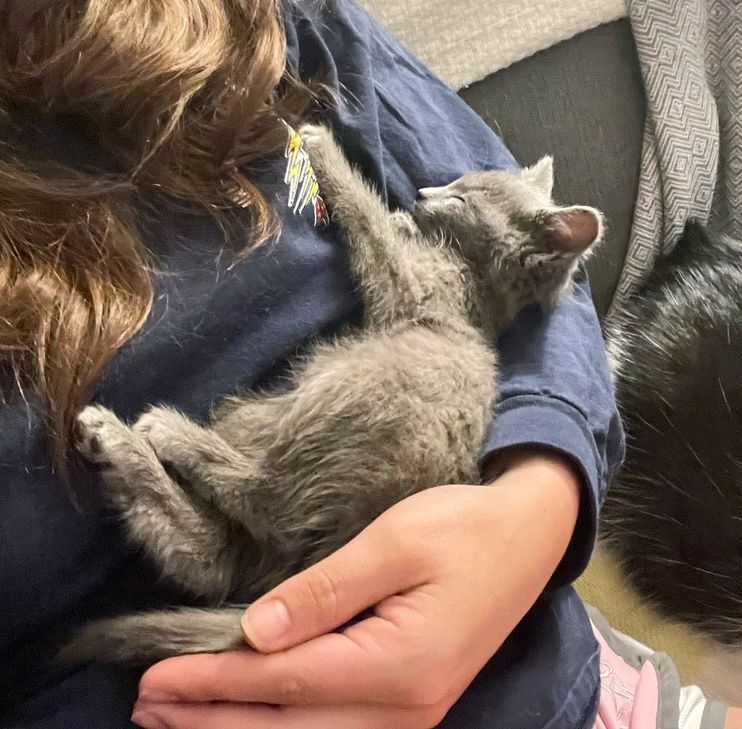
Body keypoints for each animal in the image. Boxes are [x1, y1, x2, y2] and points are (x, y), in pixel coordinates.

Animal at [65, 122, 604, 664]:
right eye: (457, 182)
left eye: (462, 197)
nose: (423, 193)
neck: (472, 285)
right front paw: (397, 214)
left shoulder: (412, 287)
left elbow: (371, 224)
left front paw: (322, 147)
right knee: (211, 557)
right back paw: (111, 442)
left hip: (335, 399)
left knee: (261, 496)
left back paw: (157, 432)